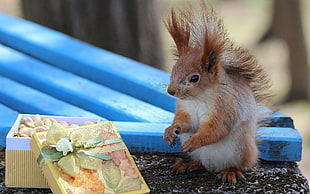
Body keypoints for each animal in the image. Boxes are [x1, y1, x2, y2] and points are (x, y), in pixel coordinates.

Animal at [162, 2, 272, 184]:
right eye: (174, 69)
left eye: (194, 78)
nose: (171, 91)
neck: (198, 99)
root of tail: (214, 167)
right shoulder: (185, 108)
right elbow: (186, 123)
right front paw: (171, 130)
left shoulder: (225, 106)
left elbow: (217, 129)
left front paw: (194, 141)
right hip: (203, 155)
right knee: (201, 163)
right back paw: (188, 164)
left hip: (241, 148)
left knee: (239, 165)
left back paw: (231, 172)